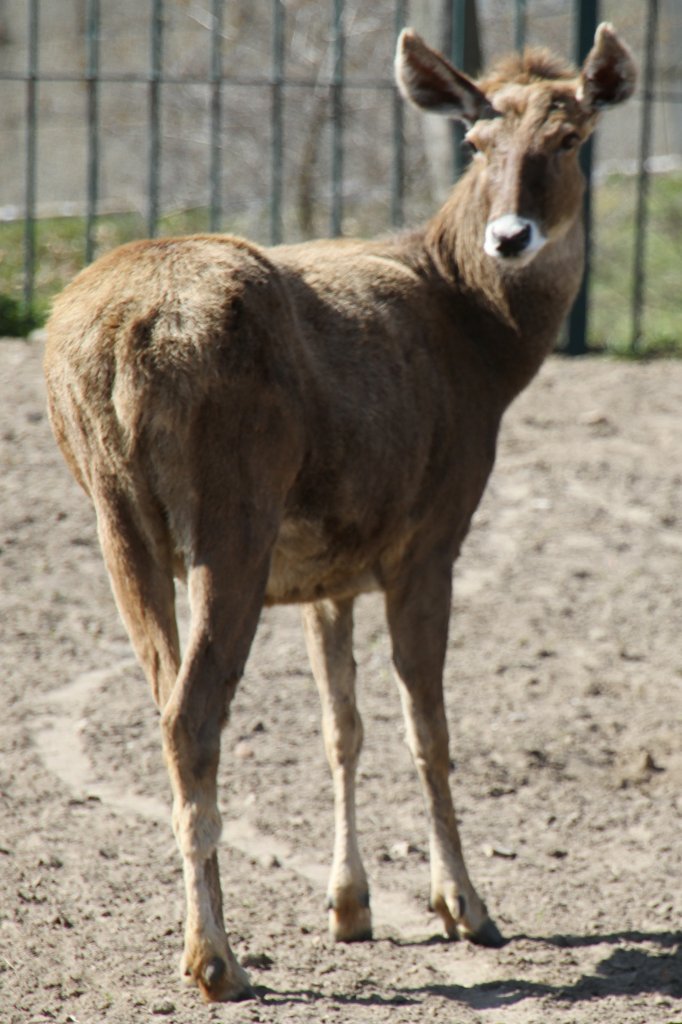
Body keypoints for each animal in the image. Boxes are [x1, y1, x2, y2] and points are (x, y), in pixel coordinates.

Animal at [45, 22, 634, 999]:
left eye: (569, 139)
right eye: (479, 141)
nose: (511, 236)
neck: (484, 345)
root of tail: (123, 342)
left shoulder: (331, 569)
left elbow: (342, 728)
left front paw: (351, 909)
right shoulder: (432, 534)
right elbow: (428, 727)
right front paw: (466, 908)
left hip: (116, 518)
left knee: (167, 702)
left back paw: (208, 943)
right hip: (234, 506)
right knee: (194, 710)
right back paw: (218, 961)